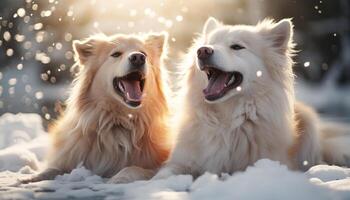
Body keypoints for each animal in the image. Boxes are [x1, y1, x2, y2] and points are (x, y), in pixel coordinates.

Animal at [154, 17, 350, 180]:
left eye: (237, 47)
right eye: (209, 44)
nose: (202, 51)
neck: (227, 119)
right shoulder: (181, 161)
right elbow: (162, 176)